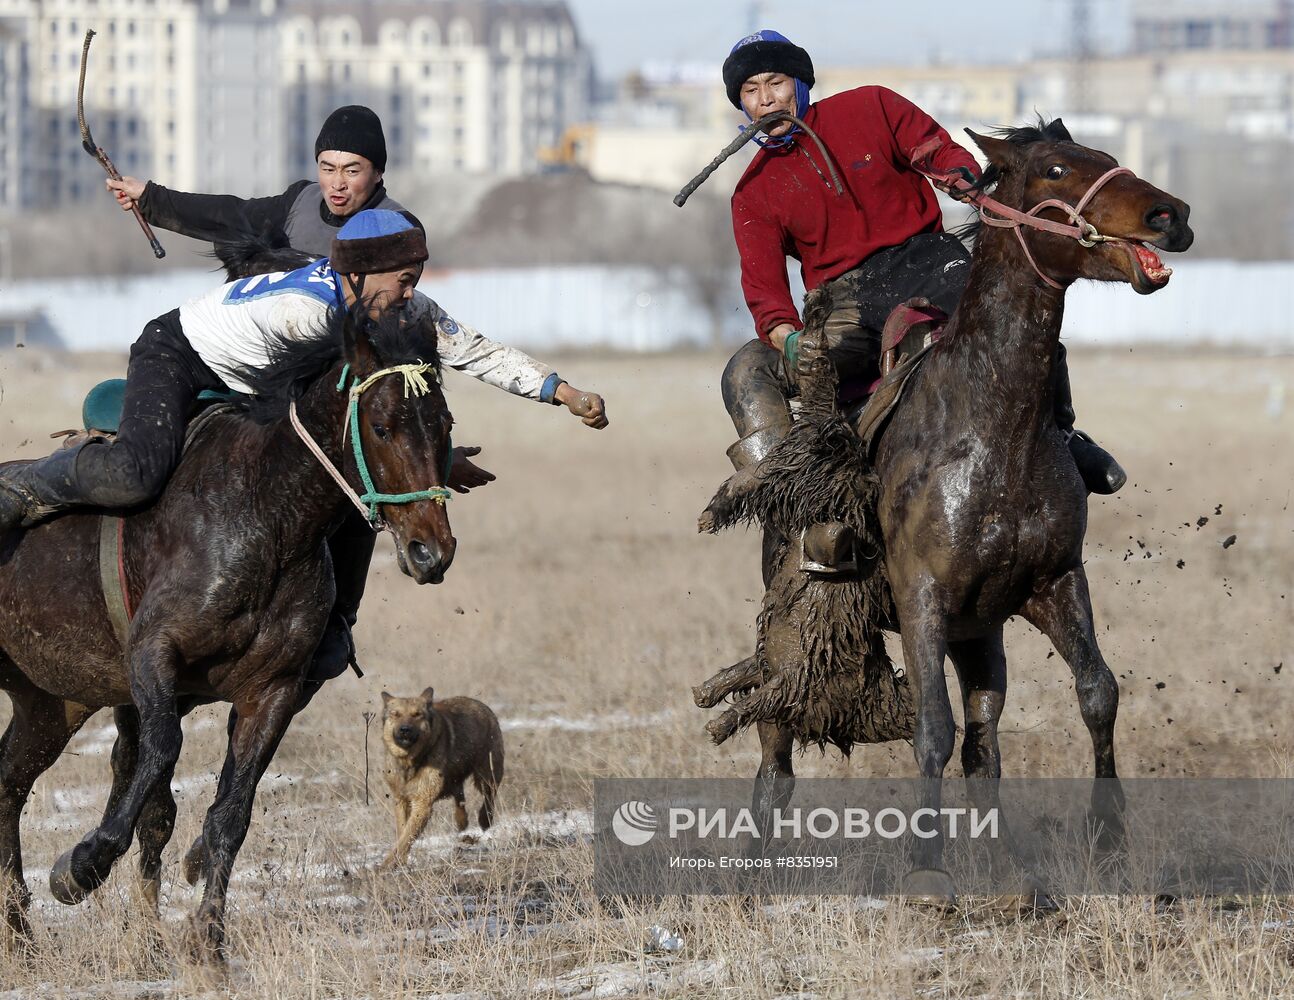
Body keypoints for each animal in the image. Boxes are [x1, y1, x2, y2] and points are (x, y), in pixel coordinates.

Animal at [377, 688, 502, 864]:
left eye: (417, 714)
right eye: (396, 714)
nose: (404, 729)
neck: (410, 761)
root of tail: (481, 705)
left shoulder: (422, 803)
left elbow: (406, 837)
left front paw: (387, 864)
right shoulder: (401, 799)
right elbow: (403, 832)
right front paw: (399, 862)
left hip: (487, 774)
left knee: (489, 796)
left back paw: (485, 819)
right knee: (460, 796)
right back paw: (462, 820)